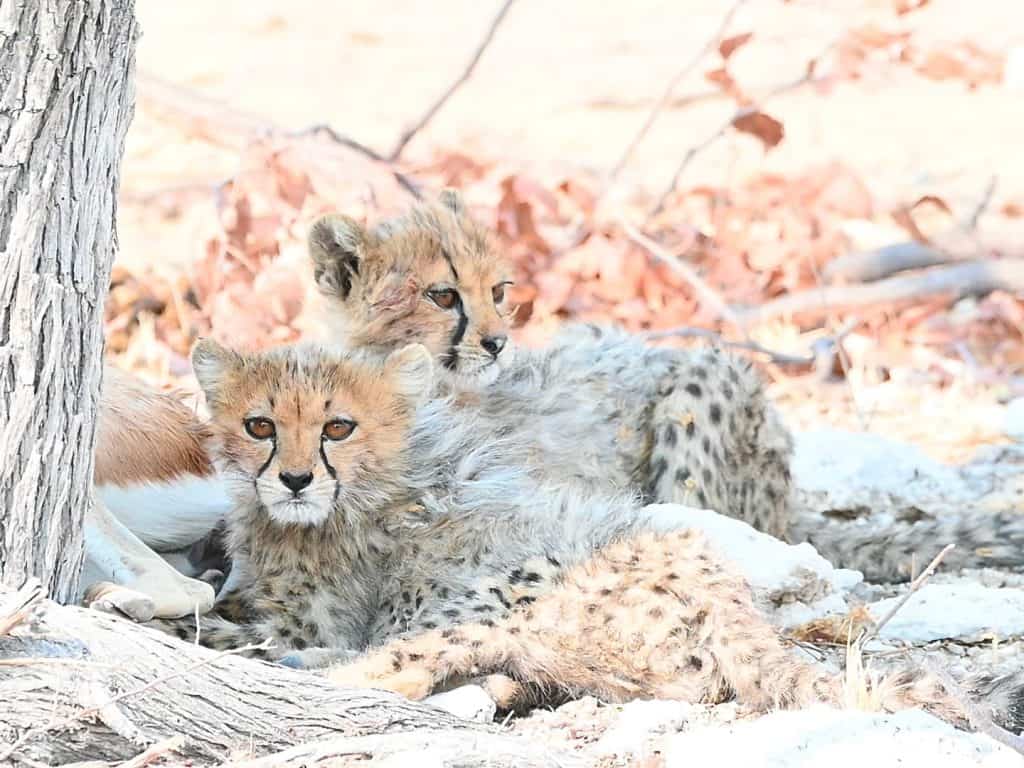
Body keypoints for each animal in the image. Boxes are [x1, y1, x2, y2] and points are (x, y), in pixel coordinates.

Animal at [147, 338, 1024, 733]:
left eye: (338, 426)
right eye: (259, 425)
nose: (295, 479)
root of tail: (728, 600)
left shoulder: (315, 611)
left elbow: (238, 626)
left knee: (405, 665)